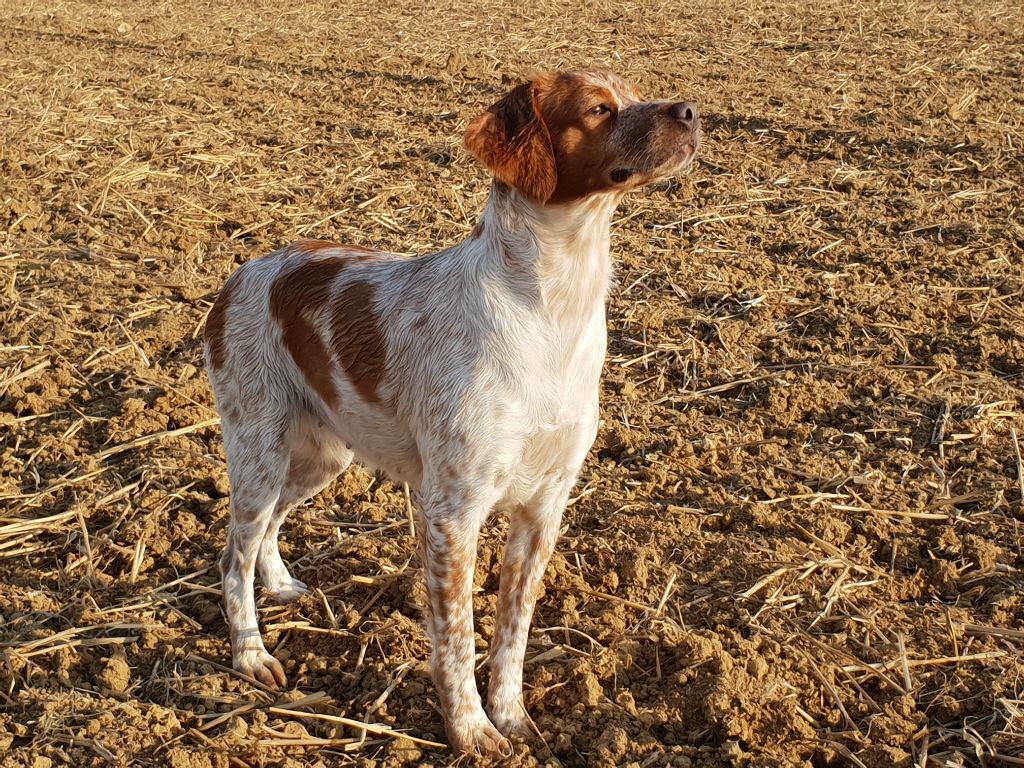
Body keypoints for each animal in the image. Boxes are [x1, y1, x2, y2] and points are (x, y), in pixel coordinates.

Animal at [203, 70, 700, 757]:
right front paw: (470, 729)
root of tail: (243, 272)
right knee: (233, 554)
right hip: (259, 449)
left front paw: (511, 716)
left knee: (267, 532)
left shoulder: (543, 510)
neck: (552, 310)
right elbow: (458, 639)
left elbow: (512, 633)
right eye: (599, 109)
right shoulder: (451, 513)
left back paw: (277, 584)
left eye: (633, 89)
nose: (691, 112)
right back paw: (250, 656)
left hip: (321, 456)